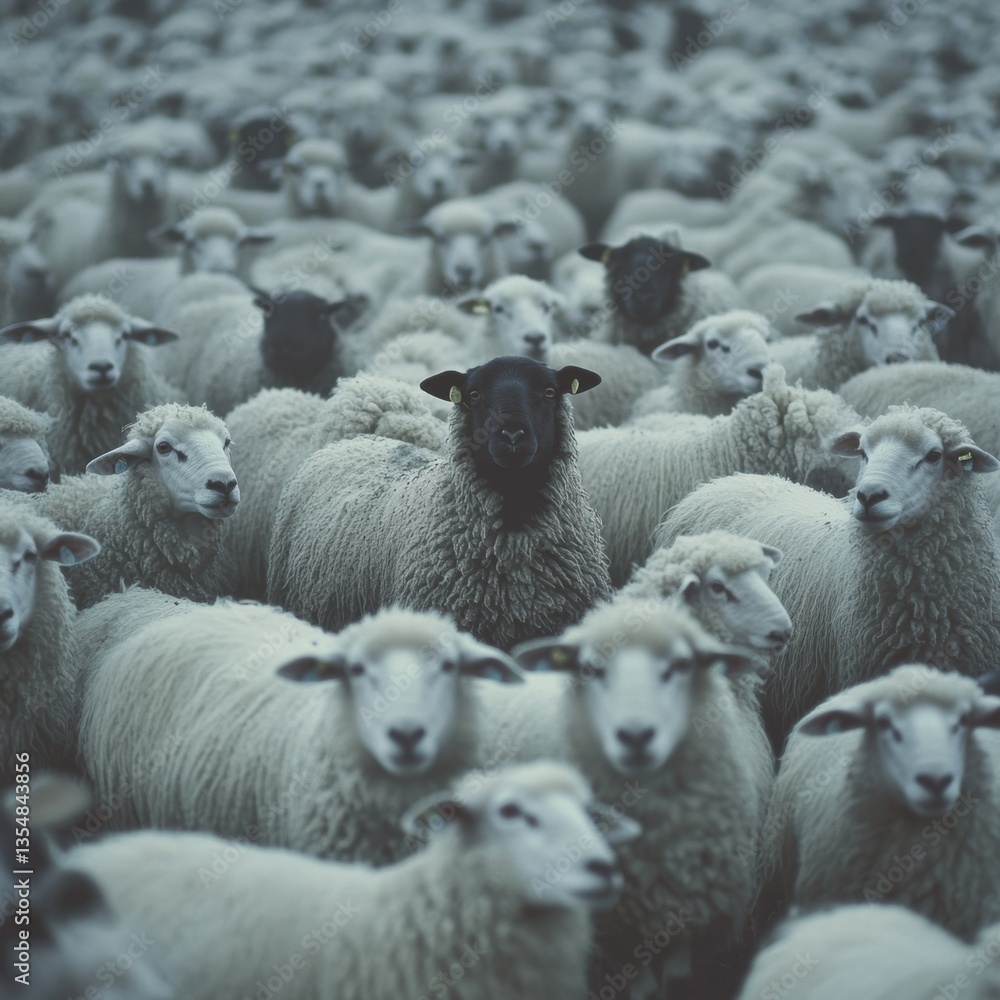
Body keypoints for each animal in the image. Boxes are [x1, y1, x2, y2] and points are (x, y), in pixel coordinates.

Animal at [480, 601, 769, 998]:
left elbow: (678, 977)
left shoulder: (690, 904)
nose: (635, 736)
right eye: (590, 668)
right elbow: (642, 987)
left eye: (682, 664)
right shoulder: (613, 923)